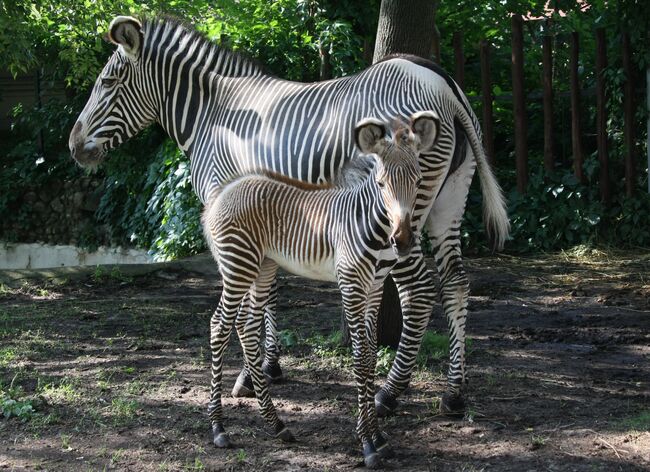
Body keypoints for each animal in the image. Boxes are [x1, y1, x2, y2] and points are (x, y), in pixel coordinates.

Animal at [69, 13, 506, 416]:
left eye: (108, 82)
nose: (73, 146)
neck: (212, 113)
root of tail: (444, 85)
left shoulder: (229, 205)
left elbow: (251, 294)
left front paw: (249, 376)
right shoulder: (264, 217)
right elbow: (269, 287)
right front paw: (268, 365)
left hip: (401, 211)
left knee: (419, 289)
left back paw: (388, 392)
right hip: (448, 201)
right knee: (456, 283)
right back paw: (453, 392)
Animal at [202, 112, 436, 466]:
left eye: (419, 181)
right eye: (381, 184)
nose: (404, 241)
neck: (371, 225)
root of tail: (228, 190)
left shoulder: (374, 288)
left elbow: (370, 354)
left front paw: (379, 437)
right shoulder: (352, 284)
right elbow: (361, 357)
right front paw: (367, 444)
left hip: (263, 268)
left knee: (245, 327)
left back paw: (276, 424)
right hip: (238, 265)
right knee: (220, 325)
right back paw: (218, 428)